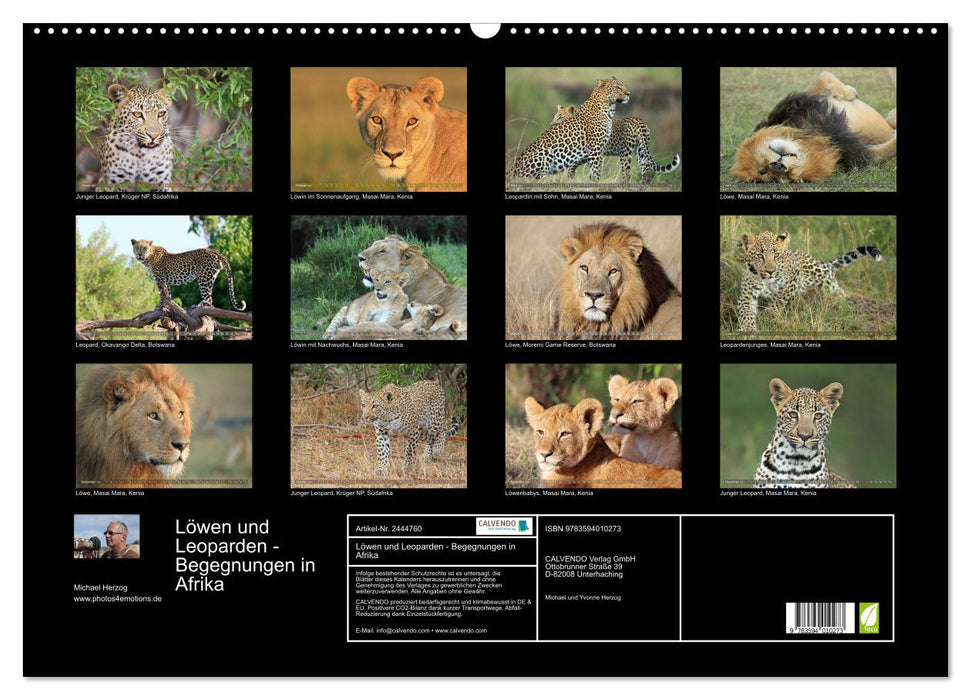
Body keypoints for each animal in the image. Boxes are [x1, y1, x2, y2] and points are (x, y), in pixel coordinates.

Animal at [730, 71, 896, 183]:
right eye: (764, 172)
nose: (777, 165)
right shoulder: (857, 154)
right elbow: (889, 148)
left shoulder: (797, 103)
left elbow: (823, 77)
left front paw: (848, 92)